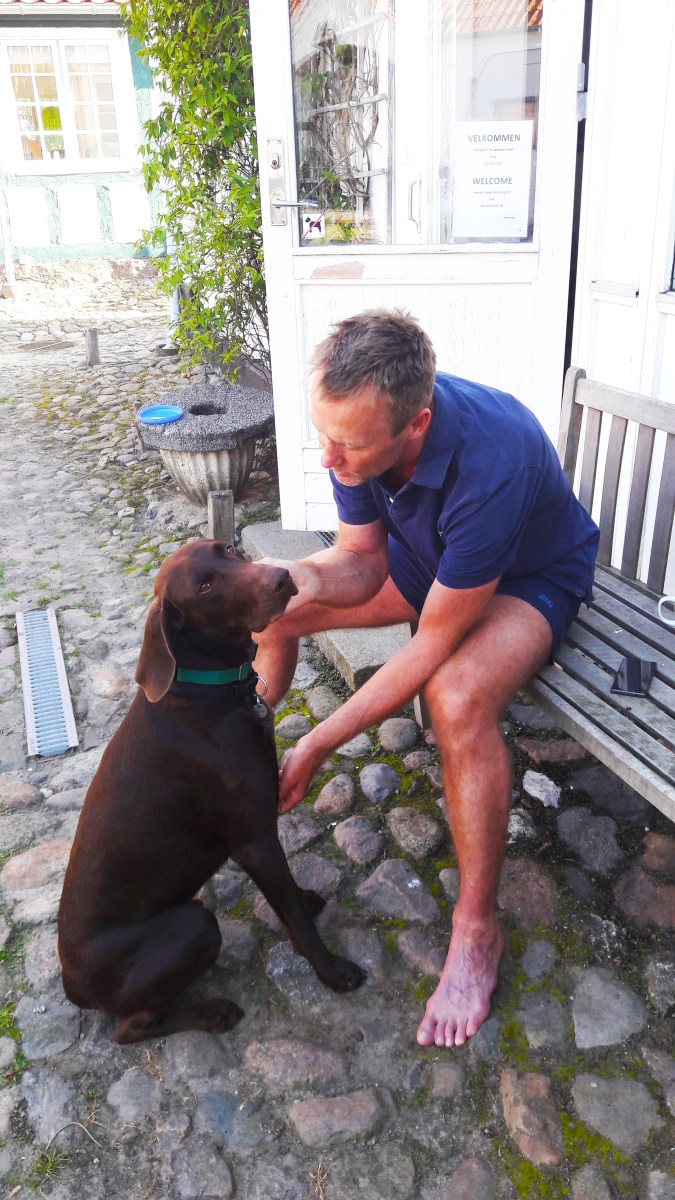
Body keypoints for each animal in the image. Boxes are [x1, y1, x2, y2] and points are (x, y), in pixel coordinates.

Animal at [57, 540, 364, 1044]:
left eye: (229, 550)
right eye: (204, 586)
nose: (281, 578)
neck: (209, 694)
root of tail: (72, 986)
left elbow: (290, 899)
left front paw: (304, 898)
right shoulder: (254, 841)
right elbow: (297, 923)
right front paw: (332, 971)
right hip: (195, 927)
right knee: (130, 1028)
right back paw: (213, 1013)